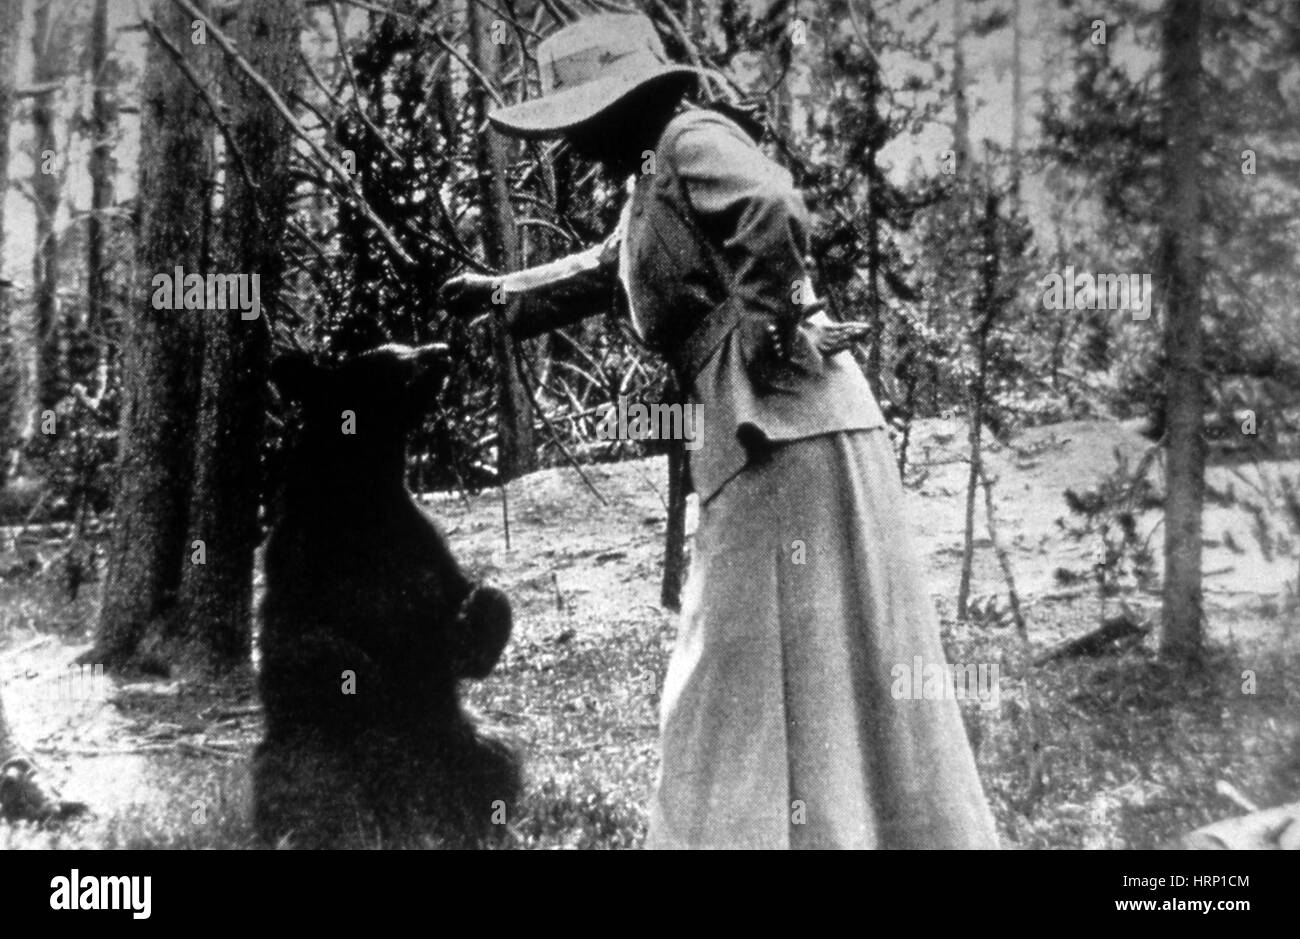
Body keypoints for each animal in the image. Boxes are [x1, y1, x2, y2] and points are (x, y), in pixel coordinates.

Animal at [250, 340, 520, 842]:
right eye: (390, 361)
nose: (440, 349)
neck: (363, 495)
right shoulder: (299, 565)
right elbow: (308, 645)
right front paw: (361, 677)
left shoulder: (423, 544)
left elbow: (473, 598)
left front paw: (479, 623)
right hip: (311, 761)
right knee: (307, 785)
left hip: (459, 741)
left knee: (493, 759)